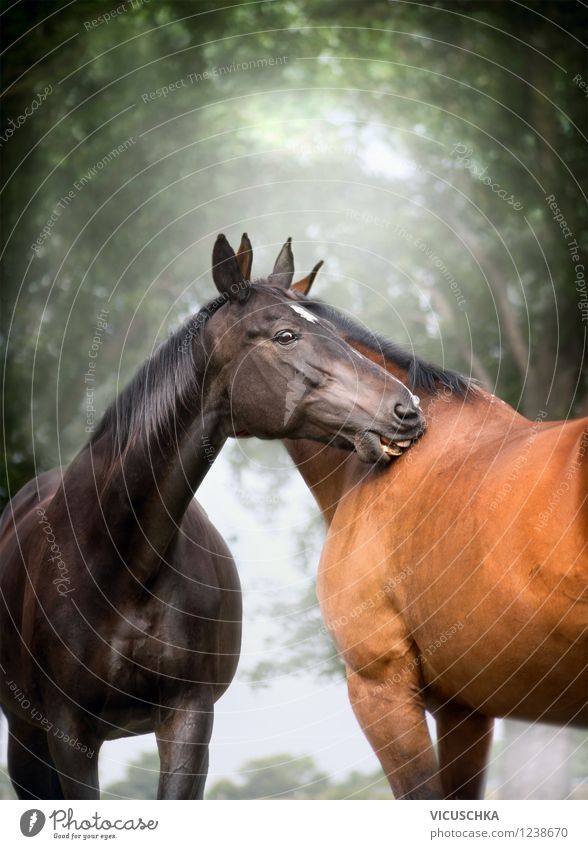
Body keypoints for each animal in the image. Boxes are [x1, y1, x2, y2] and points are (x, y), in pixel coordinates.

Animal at [0, 235, 422, 800]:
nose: (408, 409)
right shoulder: (70, 730)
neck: (121, 560)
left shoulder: (188, 716)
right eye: (285, 335)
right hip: (26, 737)